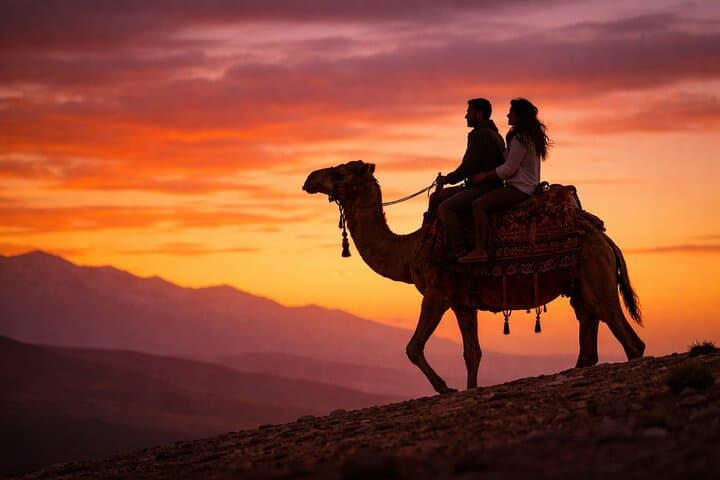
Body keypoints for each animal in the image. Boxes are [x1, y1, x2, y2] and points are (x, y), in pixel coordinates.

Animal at [303, 160, 645, 394]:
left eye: (340, 173)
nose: (309, 178)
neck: (411, 249)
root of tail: (606, 240)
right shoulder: (462, 303)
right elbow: (472, 353)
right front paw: (467, 388)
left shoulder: (437, 293)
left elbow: (413, 347)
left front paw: (445, 388)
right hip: (578, 285)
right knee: (588, 332)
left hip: (596, 276)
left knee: (629, 338)